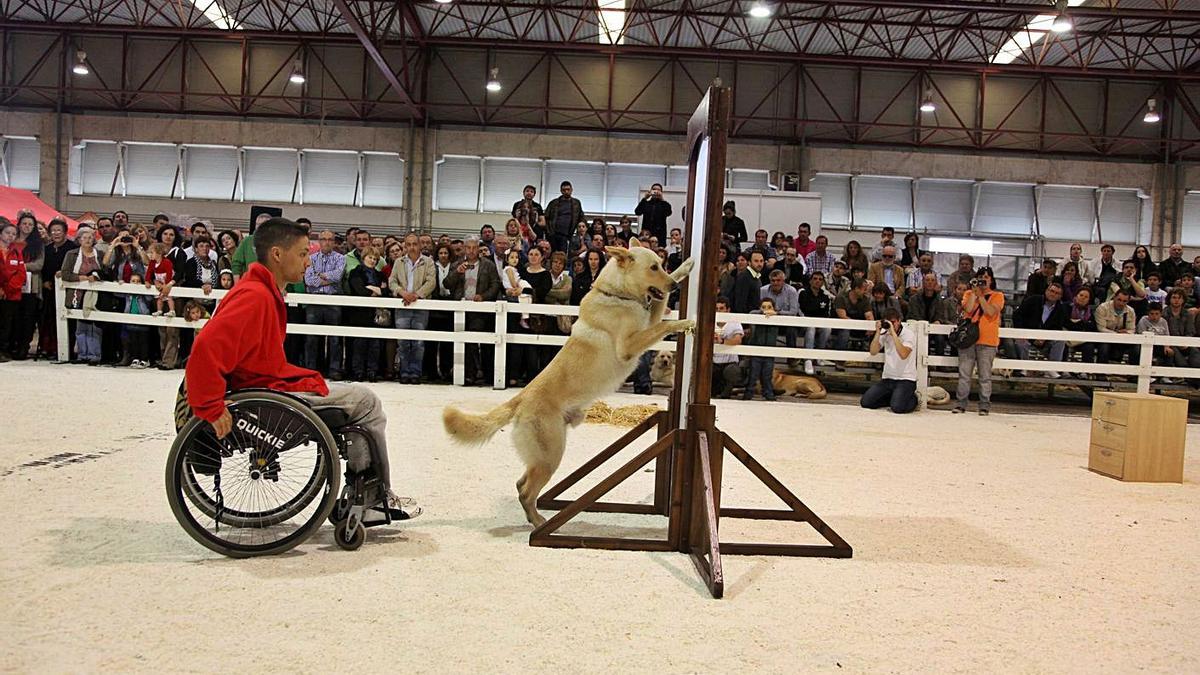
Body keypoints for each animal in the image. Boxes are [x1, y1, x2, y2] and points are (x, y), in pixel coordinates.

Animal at [446, 237, 700, 526]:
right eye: (654, 267)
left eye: (662, 264)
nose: (675, 287)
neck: (616, 294)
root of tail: (521, 398)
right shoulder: (630, 345)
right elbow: (663, 325)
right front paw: (685, 322)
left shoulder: (648, 318)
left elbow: (661, 307)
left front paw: (686, 266)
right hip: (550, 456)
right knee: (526, 491)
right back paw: (539, 524)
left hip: (543, 457)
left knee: (520, 484)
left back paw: (534, 519)